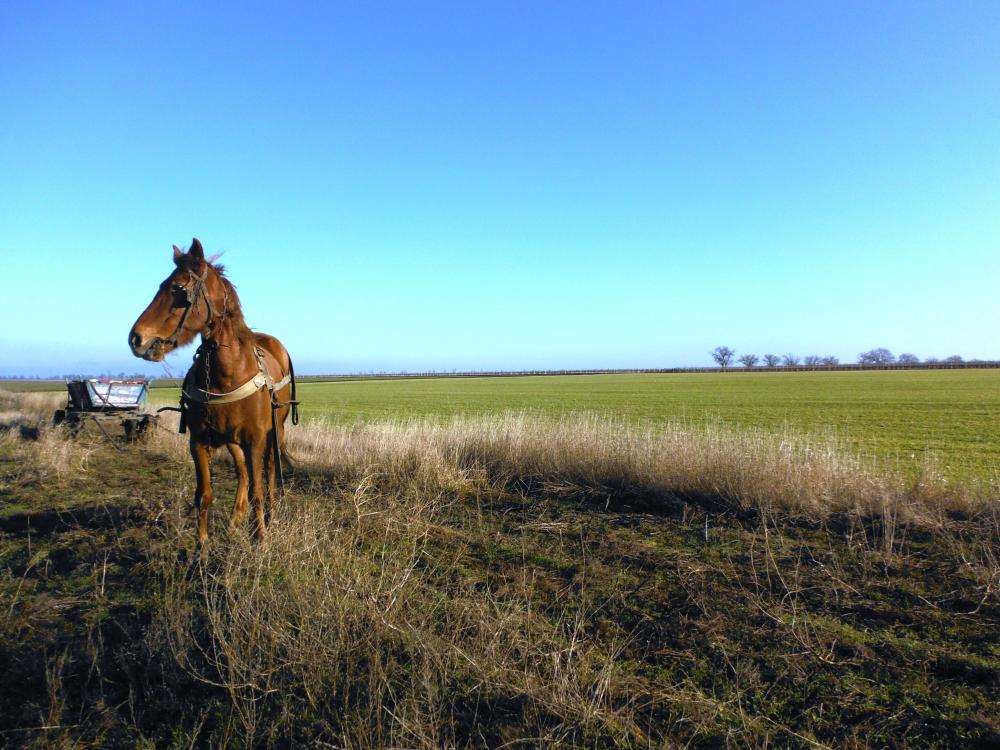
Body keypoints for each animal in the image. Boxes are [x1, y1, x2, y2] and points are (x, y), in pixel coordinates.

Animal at [128, 241, 296, 548]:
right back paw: (235, 520)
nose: (136, 339)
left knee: (268, 472)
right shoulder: (199, 442)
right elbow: (204, 495)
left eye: (177, 288)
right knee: (242, 472)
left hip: (275, 431)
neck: (228, 374)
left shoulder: (256, 439)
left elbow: (259, 489)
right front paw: (201, 548)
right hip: (231, 440)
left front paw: (260, 540)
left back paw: (269, 515)